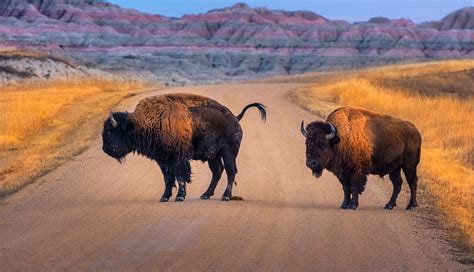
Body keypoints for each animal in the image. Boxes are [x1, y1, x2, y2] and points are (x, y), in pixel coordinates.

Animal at [102, 93, 266, 202]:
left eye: (109, 131)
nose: (105, 149)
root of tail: (235, 118)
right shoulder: (162, 159)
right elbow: (168, 178)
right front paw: (164, 197)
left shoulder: (178, 158)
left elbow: (180, 176)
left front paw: (179, 197)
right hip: (214, 156)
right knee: (217, 171)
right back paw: (205, 195)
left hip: (228, 152)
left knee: (230, 171)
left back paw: (225, 196)